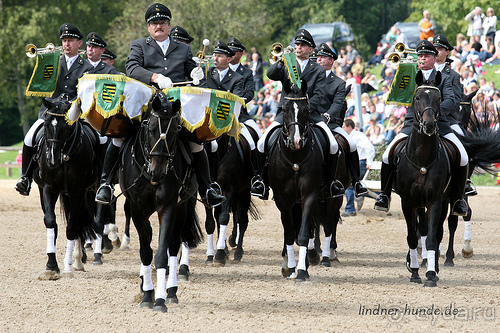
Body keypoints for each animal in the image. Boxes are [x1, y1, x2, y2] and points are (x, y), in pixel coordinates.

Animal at [34, 94, 100, 278]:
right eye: (47, 124)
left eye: (66, 126)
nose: (52, 159)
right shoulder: (48, 188)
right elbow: (50, 221)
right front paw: (51, 265)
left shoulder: (78, 192)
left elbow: (72, 227)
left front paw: (68, 267)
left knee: (78, 222)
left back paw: (77, 260)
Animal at [118, 90, 202, 312]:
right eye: (152, 129)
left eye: (174, 131)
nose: (158, 171)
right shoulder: (137, 209)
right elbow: (145, 252)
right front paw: (147, 295)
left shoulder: (168, 207)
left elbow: (162, 254)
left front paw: (160, 299)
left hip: (182, 208)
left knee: (173, 245)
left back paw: (171, 290)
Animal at [268, 80, 322, 280]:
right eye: (284, 108)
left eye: (306, 109)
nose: (296, 141)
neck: (296, 158)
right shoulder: (282, 199)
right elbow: (289, 233)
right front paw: (290, 267)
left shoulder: (310, 195)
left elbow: (304, 233)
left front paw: (301, 271)